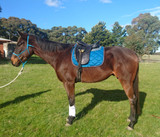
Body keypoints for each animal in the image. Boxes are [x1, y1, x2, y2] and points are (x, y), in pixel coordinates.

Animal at [10, 31, 139, 130]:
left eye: (20, 43)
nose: (12, 61)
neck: (60, 55)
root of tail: (133, 53)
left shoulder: (69, 83)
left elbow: (71, 100)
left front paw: (70, 119)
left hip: (126, 81)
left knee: (132, 99)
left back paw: (131, 124)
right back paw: (130, 118)